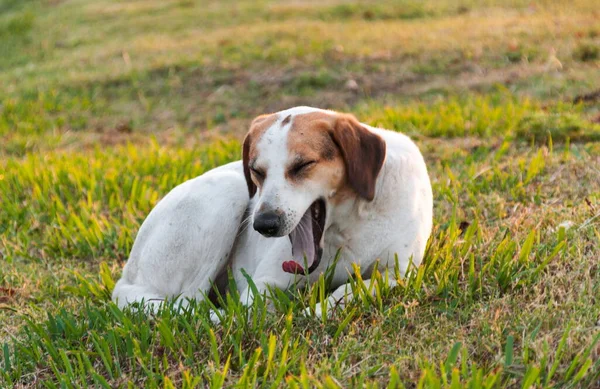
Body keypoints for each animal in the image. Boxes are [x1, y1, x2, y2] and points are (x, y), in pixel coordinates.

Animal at [111, 105, 432, 316]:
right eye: (256, 171)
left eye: (303, 165)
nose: (264, 225)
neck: (350, 225)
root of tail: (128, 274)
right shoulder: (265, 281)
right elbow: (250, 304)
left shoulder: (399, 272)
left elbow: (353, 289)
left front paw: (319, 308)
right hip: (229, 192)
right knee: (188, 304)